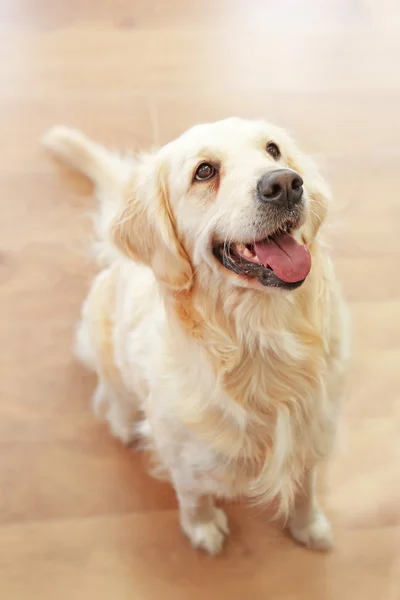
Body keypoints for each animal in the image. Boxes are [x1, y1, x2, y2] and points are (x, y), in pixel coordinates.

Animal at [43, 117, 348, 552]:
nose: (287, 183)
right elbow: (193, 495)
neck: (259, 336)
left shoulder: (313, 430)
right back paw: (122, 420)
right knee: (112, 388)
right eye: (204, 171)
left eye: (273, 150)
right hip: (98, 333)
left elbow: (304, 486)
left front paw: (308, 526)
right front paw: (203, 529)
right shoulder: (182, 455)